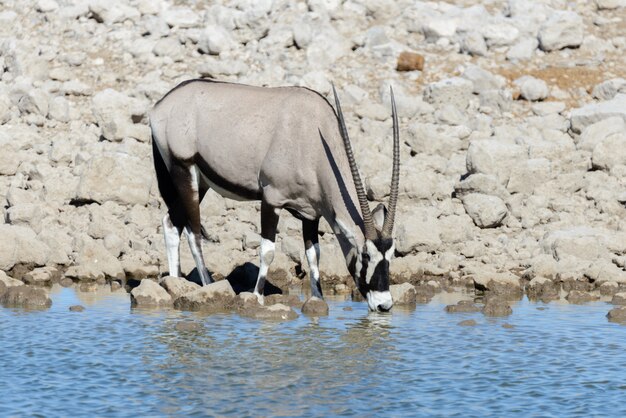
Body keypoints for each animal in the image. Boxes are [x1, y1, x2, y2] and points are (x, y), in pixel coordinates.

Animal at [149, 80, 398, 312]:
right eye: (365, 256)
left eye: (391, 255)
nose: (384, 305)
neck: (313, 137)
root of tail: (161, 105)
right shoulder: (271, 199)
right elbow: (267, 251)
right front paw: (257, 296)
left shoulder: (311, 214)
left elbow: (314, 255)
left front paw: (318, 299)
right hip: (184, 170)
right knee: (194, 233)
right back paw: (208, 284)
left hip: (200, 183)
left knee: (172, 222)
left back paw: (175, 282)